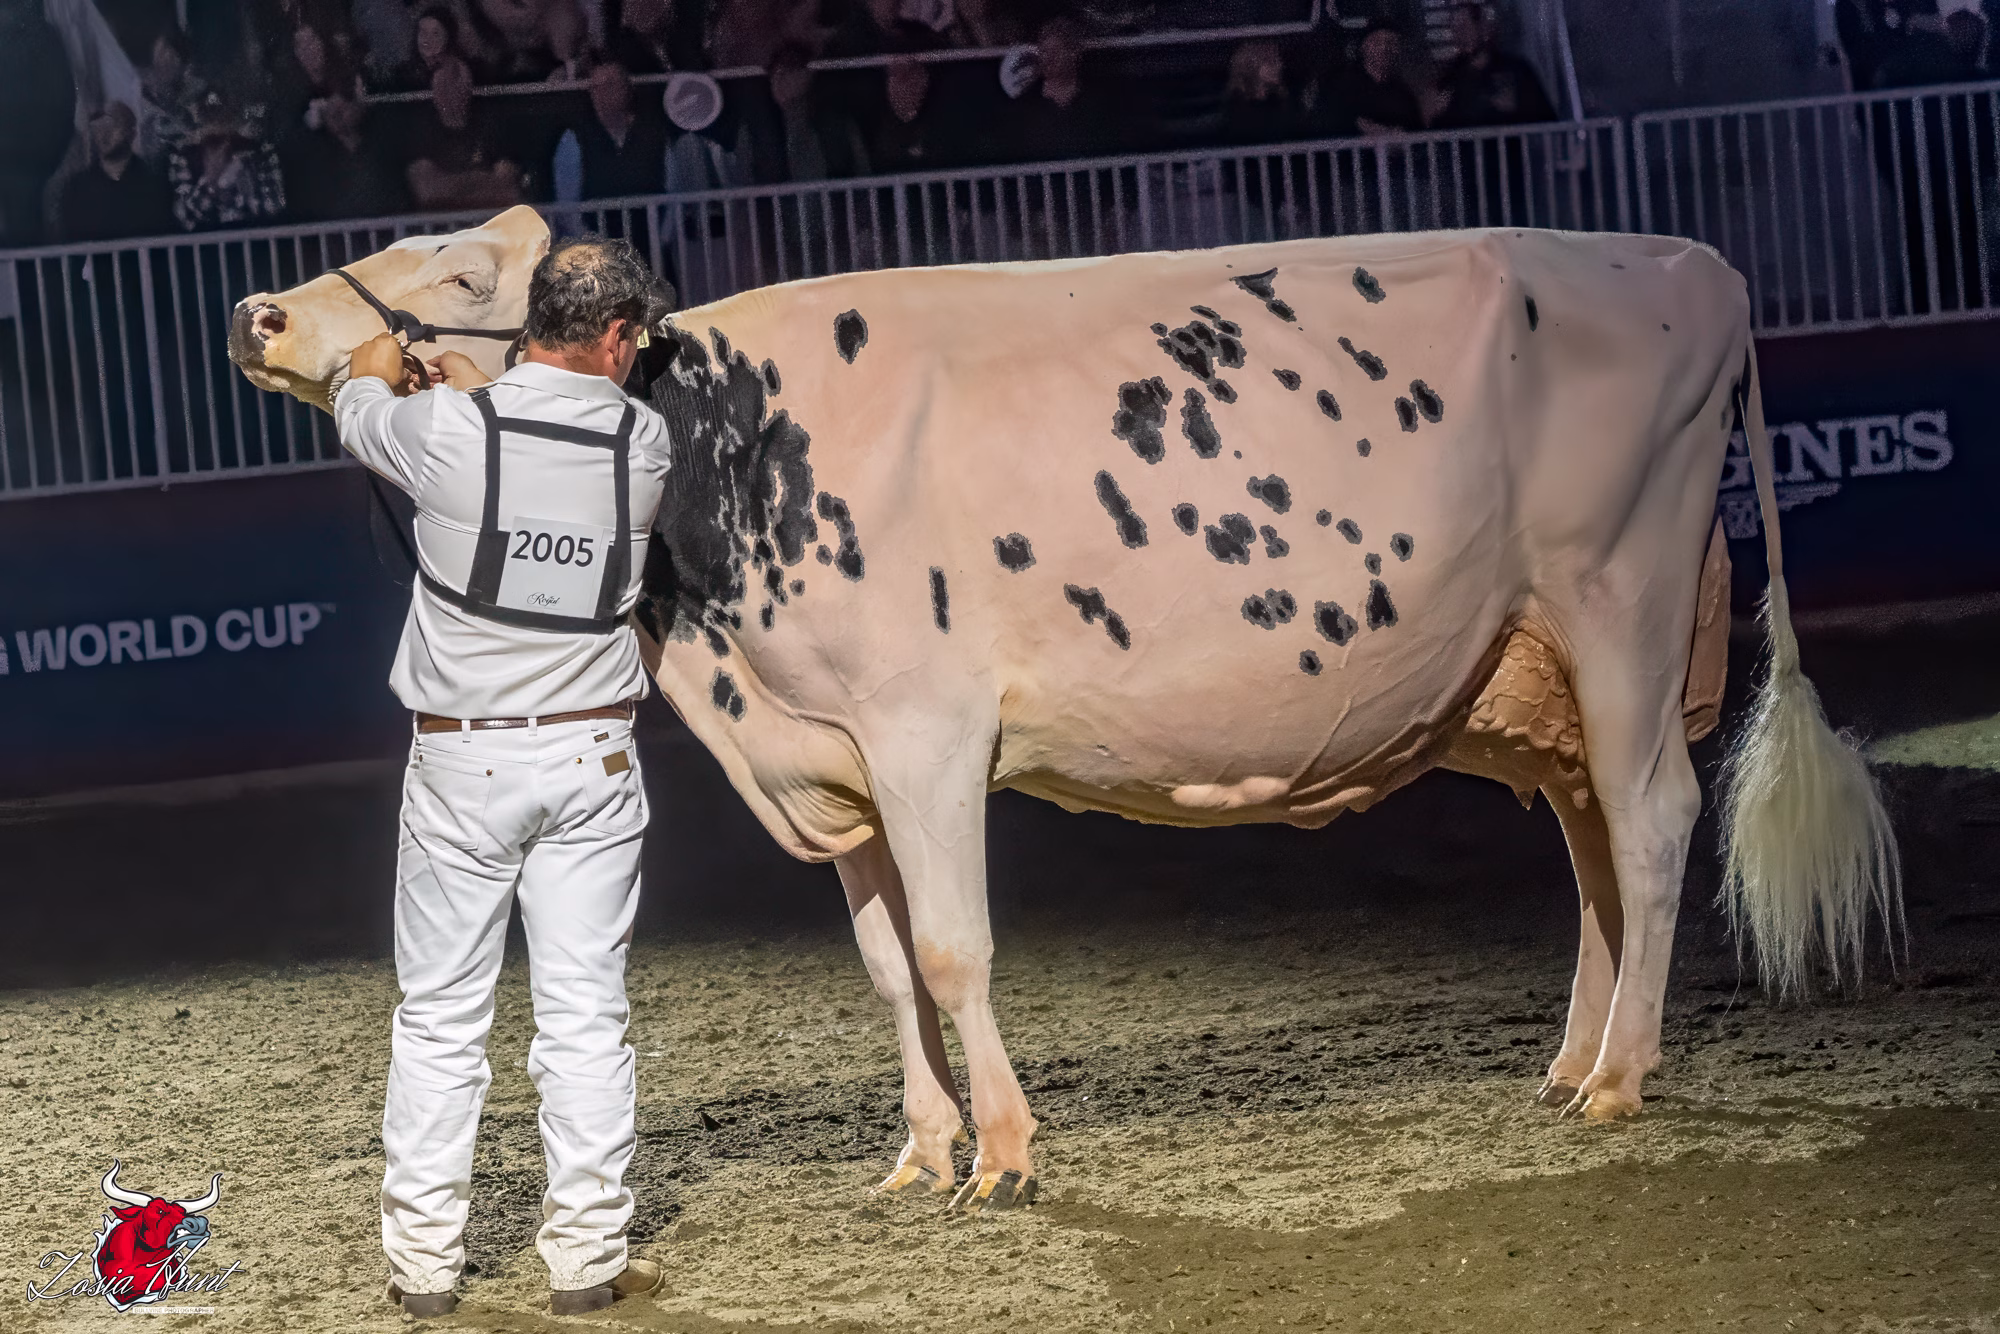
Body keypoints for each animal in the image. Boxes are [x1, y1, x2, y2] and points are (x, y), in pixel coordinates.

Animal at [231, 209, 1901, 1212]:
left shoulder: (923, 732)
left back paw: (1621, 1076)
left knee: (1658, 820)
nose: (261, 312)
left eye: (463, 273)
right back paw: (1571, 1057)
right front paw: (919, 1150)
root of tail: (1685, 261)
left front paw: (1006, 1154)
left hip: (1623, 595)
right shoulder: (828, 755)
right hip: (1535, 655)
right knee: (1594, 838)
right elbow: (887, 966)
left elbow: (955, 950)